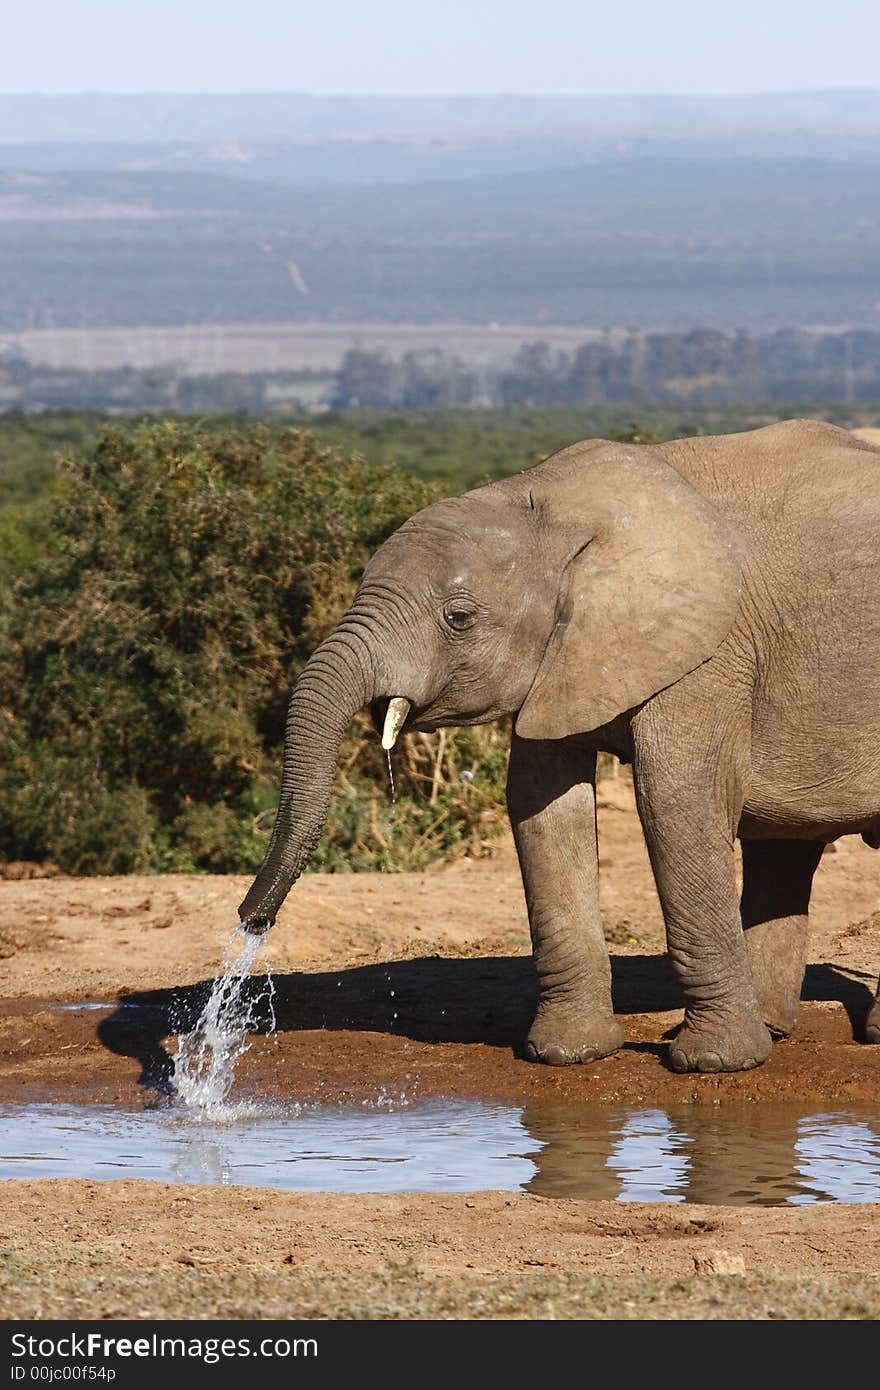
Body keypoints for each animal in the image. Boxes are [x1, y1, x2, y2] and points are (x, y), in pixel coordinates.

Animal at [236, 419, 878, 1073]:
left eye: (458, 617)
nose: (251, 920)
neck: (551, 505)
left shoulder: (709, 651)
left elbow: (677, 803)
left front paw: (712, 1064)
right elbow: (544, 808)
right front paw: (568, 1054)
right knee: (782, 847)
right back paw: (772, 1027)